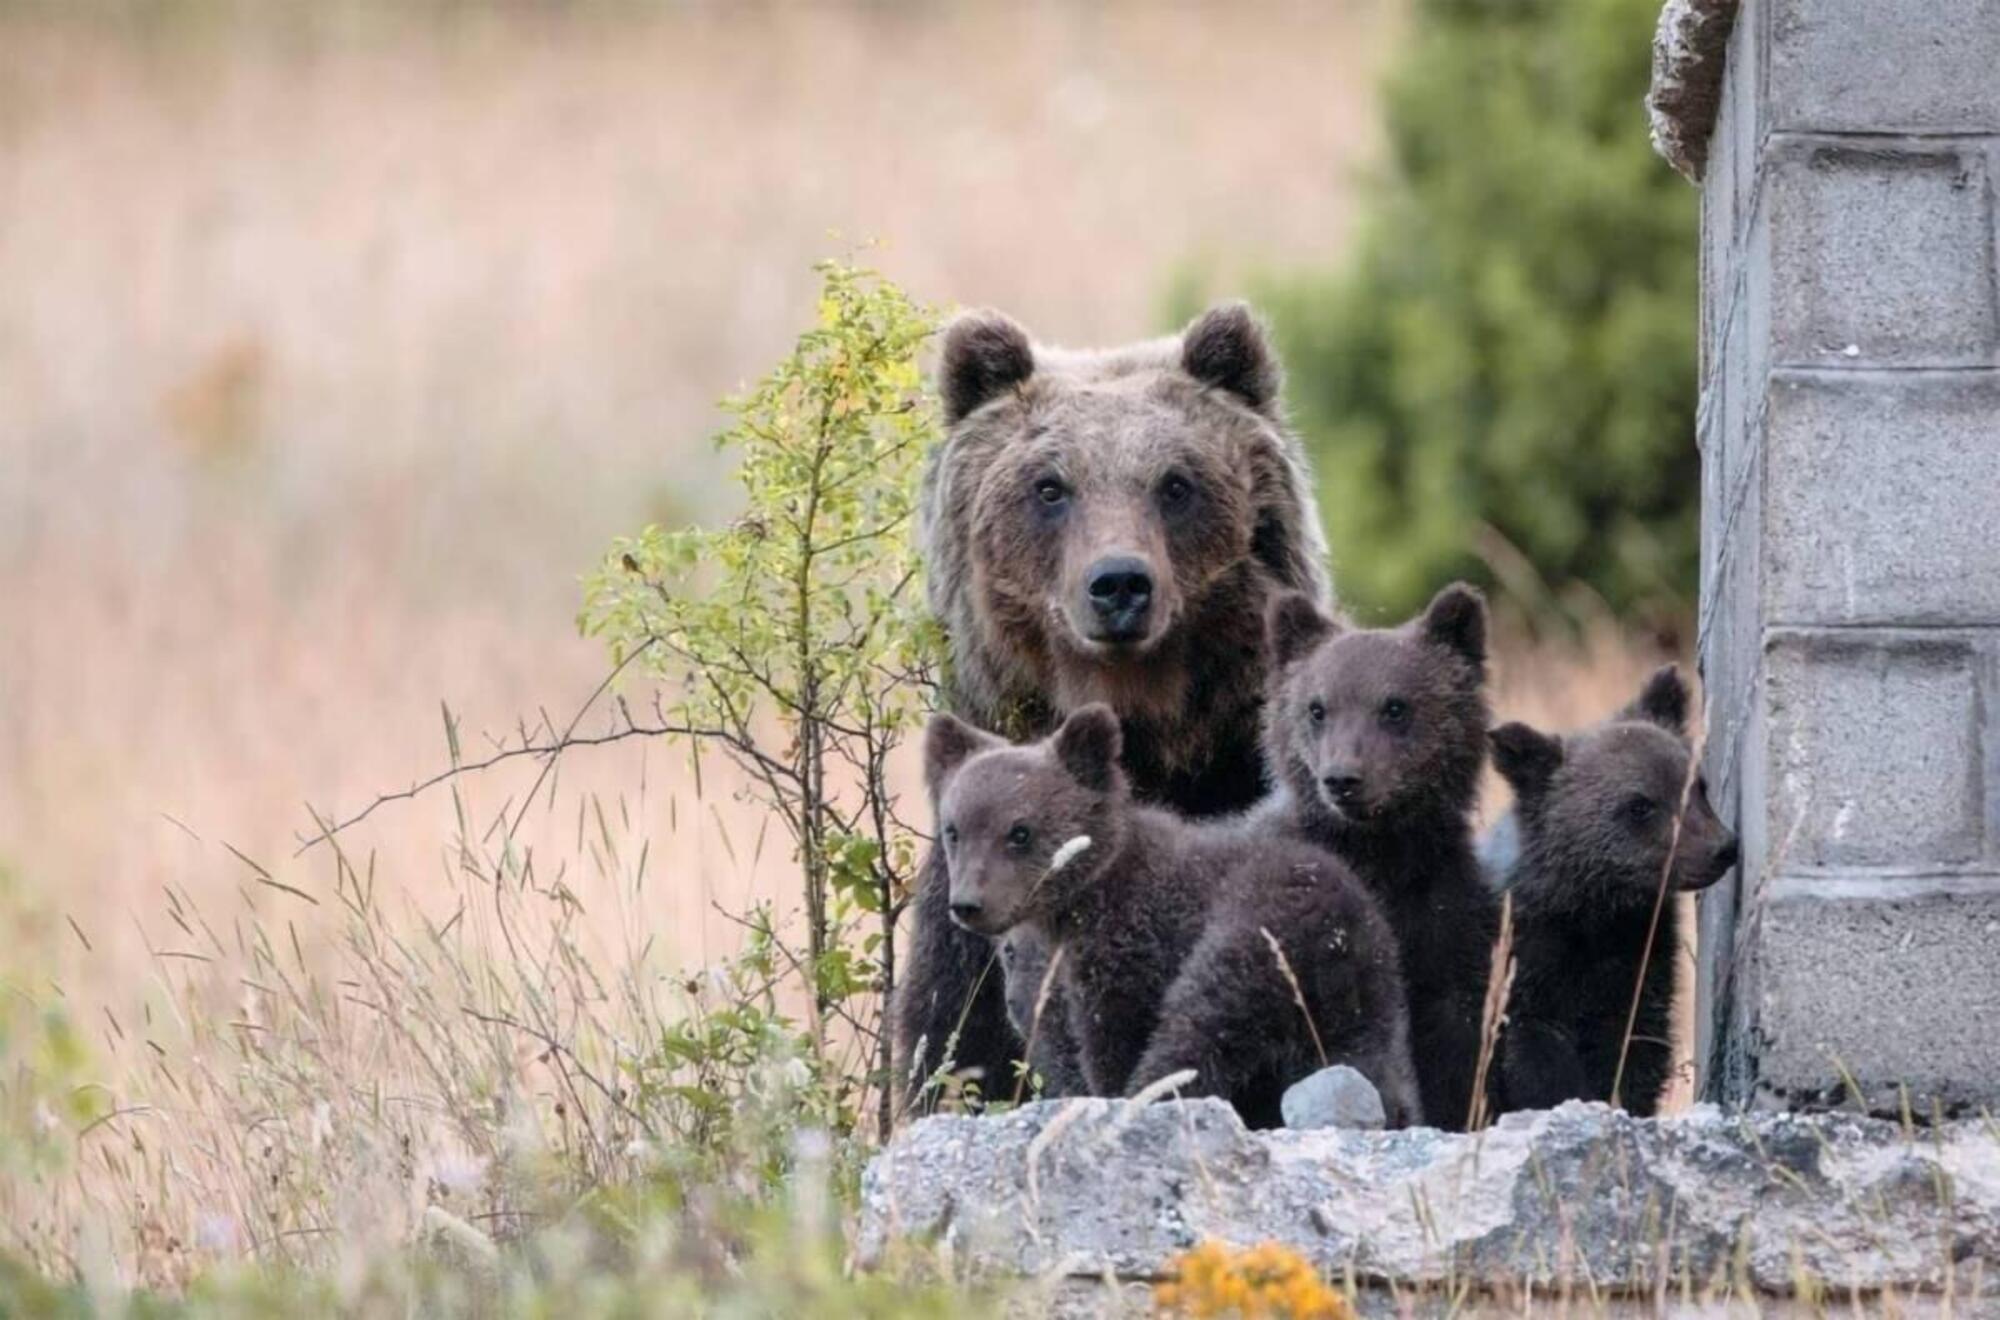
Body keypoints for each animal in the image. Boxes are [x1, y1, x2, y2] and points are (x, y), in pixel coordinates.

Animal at [924, 700, 1424, 1128]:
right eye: (954, 830)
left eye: (1020, 832)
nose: (968, 904)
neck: (1082, 902)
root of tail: (1337, 930)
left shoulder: (1127, 947)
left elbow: (1114, 1038)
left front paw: (1110, 1092)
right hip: (1365, 996)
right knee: (1373, 1066)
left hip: (1254, 937)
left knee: (1197, 1028)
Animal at [1256, 584, 1496, 1128]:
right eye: (1317, 708)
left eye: (1395, 706)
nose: (1343, 779)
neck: (1380, 852)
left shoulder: (1445, 914)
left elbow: (1453, 1040)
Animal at [1496, 672, 1744, 1112]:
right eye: (1639, 805)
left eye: (1698, 786)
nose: (1722, 848)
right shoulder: (1527, 967)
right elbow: (1536, 1056)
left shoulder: (1640, 962)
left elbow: (1635, 1051)